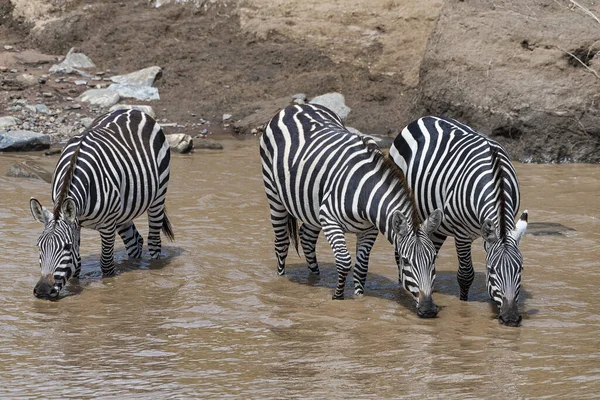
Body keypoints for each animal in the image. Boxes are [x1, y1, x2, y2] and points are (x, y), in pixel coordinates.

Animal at [29, 109, 173, 300]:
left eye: (66, 246)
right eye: (39, 245)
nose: (43, 291)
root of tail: (133, 110)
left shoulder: (107, 225)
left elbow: (106, 264)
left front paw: (109, 291)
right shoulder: (76, 224)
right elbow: (77, 264)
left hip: (158, 196)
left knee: (153, 241)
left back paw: (153, 272)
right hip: (123, 210)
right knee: (135, 241)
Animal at [260, 104, 442, 318]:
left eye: (433, 259)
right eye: (405, 261)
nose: (429, 310)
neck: (365, 193)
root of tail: (296, 106)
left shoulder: (369, 230)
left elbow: (361, 267)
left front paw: (359, 298)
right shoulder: (329, 219)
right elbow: (345, 261)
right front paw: (338, 297)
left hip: (312, 206)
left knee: (307, 237)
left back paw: (315, 279)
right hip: (274, 195)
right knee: (281, 244)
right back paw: (280, 280)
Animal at [390, 115, 524, 324]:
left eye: (520, 270)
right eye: (492, 270)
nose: (510, 318)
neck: (496, 178)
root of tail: (424, 117)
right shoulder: (462, 234)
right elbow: (465, 275)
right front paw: (464, 307)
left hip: (436, 226)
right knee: (399, 255)